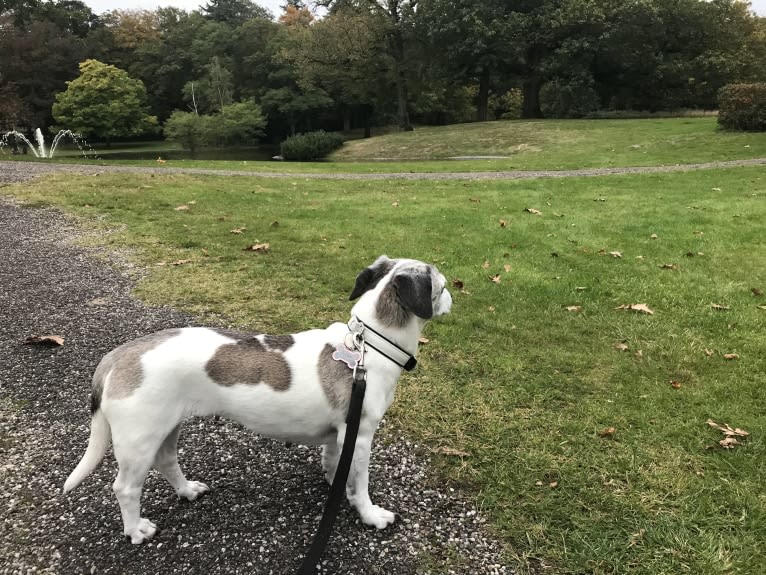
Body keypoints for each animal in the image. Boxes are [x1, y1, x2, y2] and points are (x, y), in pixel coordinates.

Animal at [66, 256, 452, 544]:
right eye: (443, 286)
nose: (456, 295)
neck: (367, 347)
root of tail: (119, 355)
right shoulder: (361, 435)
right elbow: (361, 483)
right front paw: (370, 513)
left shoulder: (342, 433)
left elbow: (335, 463)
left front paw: (336, 483)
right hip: (138, 442)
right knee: (125, 488)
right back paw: (135, 530)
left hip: (165, 428)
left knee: (166, 461)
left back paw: (187, 490)